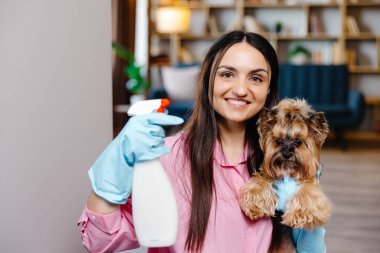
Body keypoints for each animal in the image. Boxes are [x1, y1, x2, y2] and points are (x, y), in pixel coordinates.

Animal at [240, 99, 332, 251]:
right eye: (278, 141)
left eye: (298, 142)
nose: (287, 153)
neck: (288, 171)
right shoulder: (268, 174)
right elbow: (260, 182)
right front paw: (254, 204)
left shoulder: (310, 184)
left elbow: (307, 196)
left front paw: (298, 215)